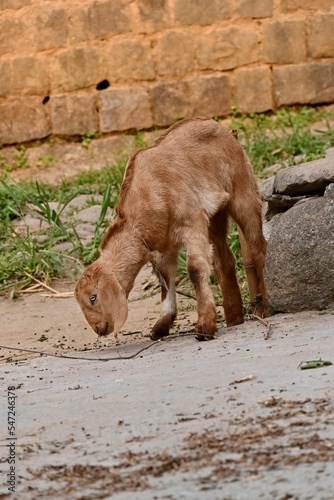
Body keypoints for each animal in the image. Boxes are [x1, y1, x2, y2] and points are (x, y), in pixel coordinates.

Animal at [74, 118, 268, 340]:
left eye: (93, 297)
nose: (98, 328)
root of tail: (227, 131)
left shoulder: (192, 223)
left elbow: (194, 268)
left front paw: (204, 326)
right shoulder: (165, 244)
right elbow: (165, 276)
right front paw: (161, 325)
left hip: (243, 191)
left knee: (258, 246)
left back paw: (266, 305)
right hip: (216, 215)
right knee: (224, 259)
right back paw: (234, 318)